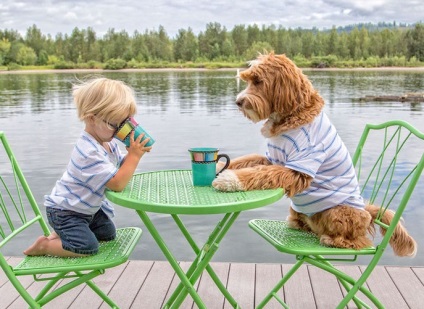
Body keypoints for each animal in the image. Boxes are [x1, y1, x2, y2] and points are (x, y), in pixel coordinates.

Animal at [212, 52, 414, 255]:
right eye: (248, 80)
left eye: (258, 81)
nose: (238, 102)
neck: (291, 116)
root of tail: (367, 212)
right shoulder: (272, 158)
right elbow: (248, 161)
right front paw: (221, 166)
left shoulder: (298, 167)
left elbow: (260, 173)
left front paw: (229, 179)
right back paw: (298, 223)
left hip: (338, 212)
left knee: (359, 241)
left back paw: (332, 240)